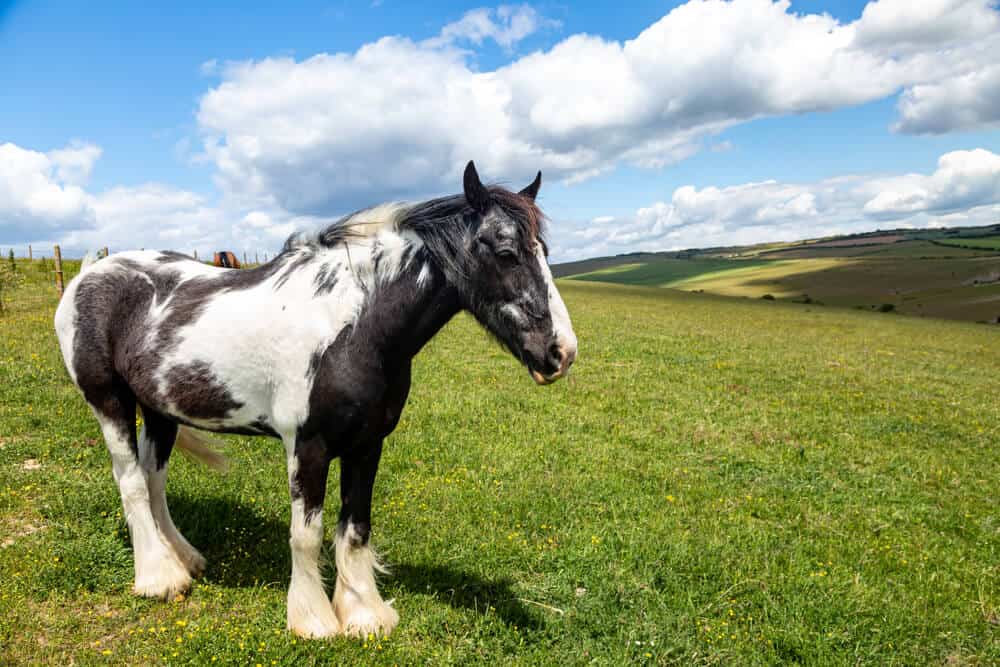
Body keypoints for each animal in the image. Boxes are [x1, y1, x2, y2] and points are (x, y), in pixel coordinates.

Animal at [53, 161, 577, 639]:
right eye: (507, 252)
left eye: (544, 251)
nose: (561, 352)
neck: (354, 329)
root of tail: (89, 272)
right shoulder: (307, 446)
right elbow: (307, 535)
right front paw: (313, 620)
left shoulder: (368, 444)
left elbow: (356, 527)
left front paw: (364, 613)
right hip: (110, 402)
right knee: (132, 482)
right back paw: (158, 578)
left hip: (162, 412)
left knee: (154, 481)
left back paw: (184, 561)